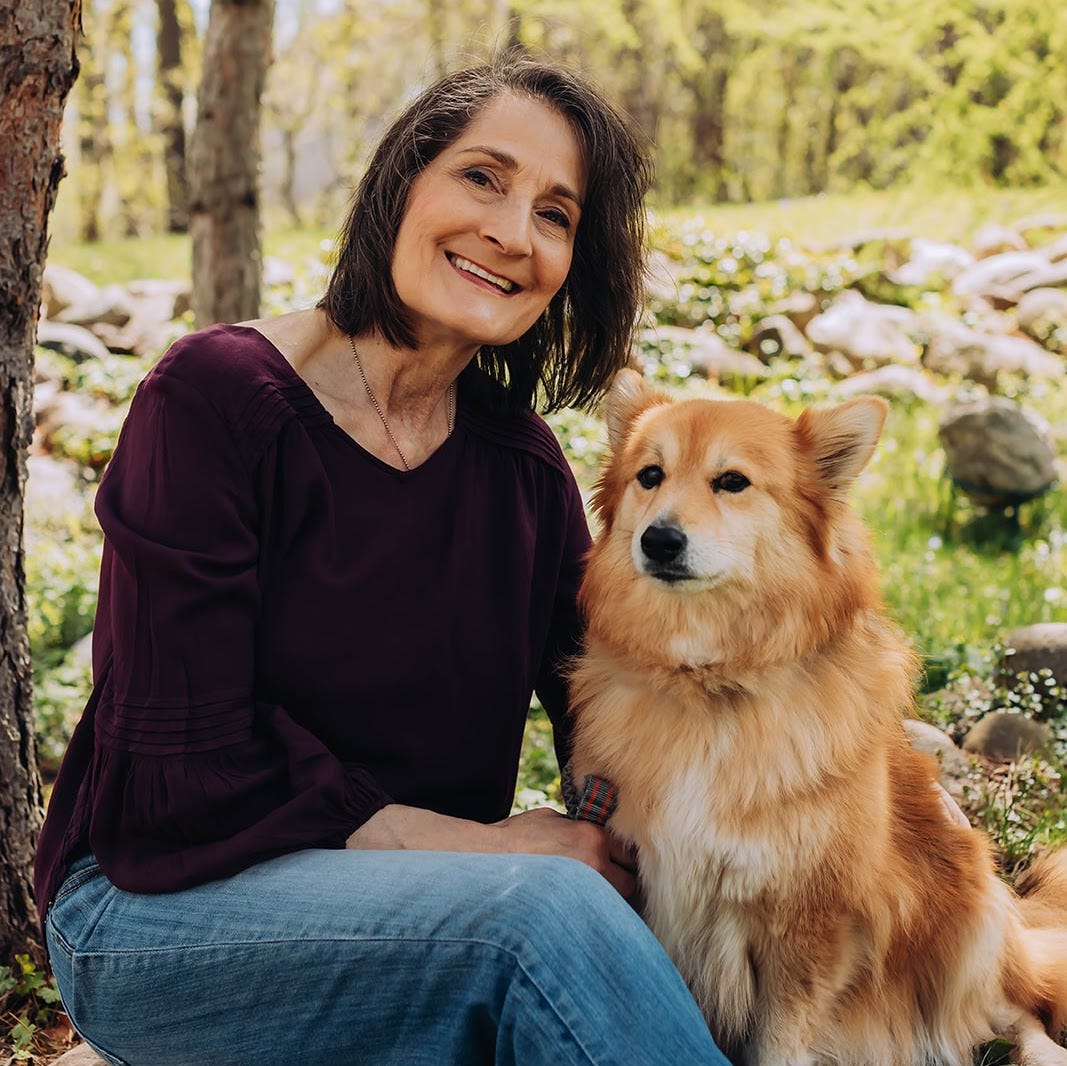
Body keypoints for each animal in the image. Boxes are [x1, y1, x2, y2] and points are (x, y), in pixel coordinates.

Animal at [571, 369, 1067, 1066]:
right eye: (650, 475)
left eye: (732, 481)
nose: (659, 540)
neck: (712, 686)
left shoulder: (810, 930)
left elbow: (780, 1044)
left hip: (967, 914)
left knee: (1009, 1006)